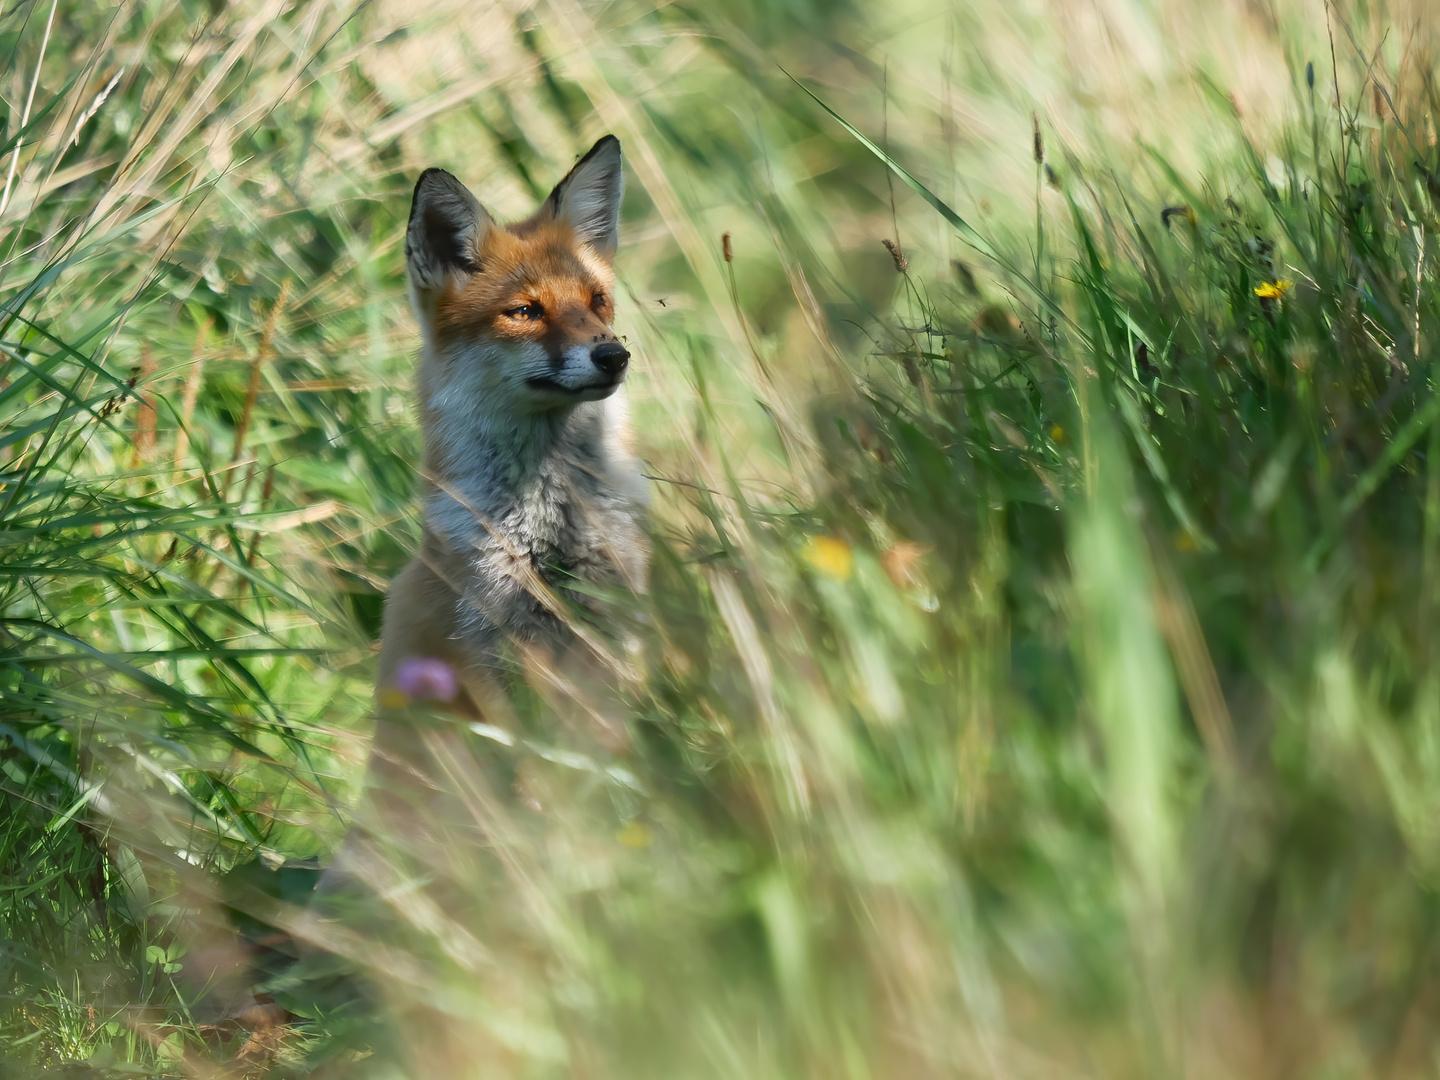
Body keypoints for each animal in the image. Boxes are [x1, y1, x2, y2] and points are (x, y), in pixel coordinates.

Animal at [377, 135, 648, 728]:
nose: (613, 357)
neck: (553, 522)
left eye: (596, 301)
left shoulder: (616, 615)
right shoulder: (494, 642)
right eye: (524, 311)